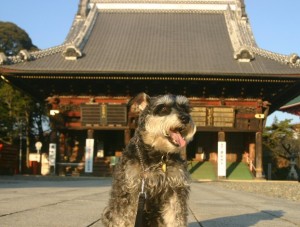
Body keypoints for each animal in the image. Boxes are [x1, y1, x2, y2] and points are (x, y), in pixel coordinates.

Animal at [102, 93, 197, 226]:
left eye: (185, 108)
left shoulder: (175, 190)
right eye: (163, 108)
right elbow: (123, 219)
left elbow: (176, 218)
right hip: (107, 212)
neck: (157, 156)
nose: (185, 118)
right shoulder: (130, 191)